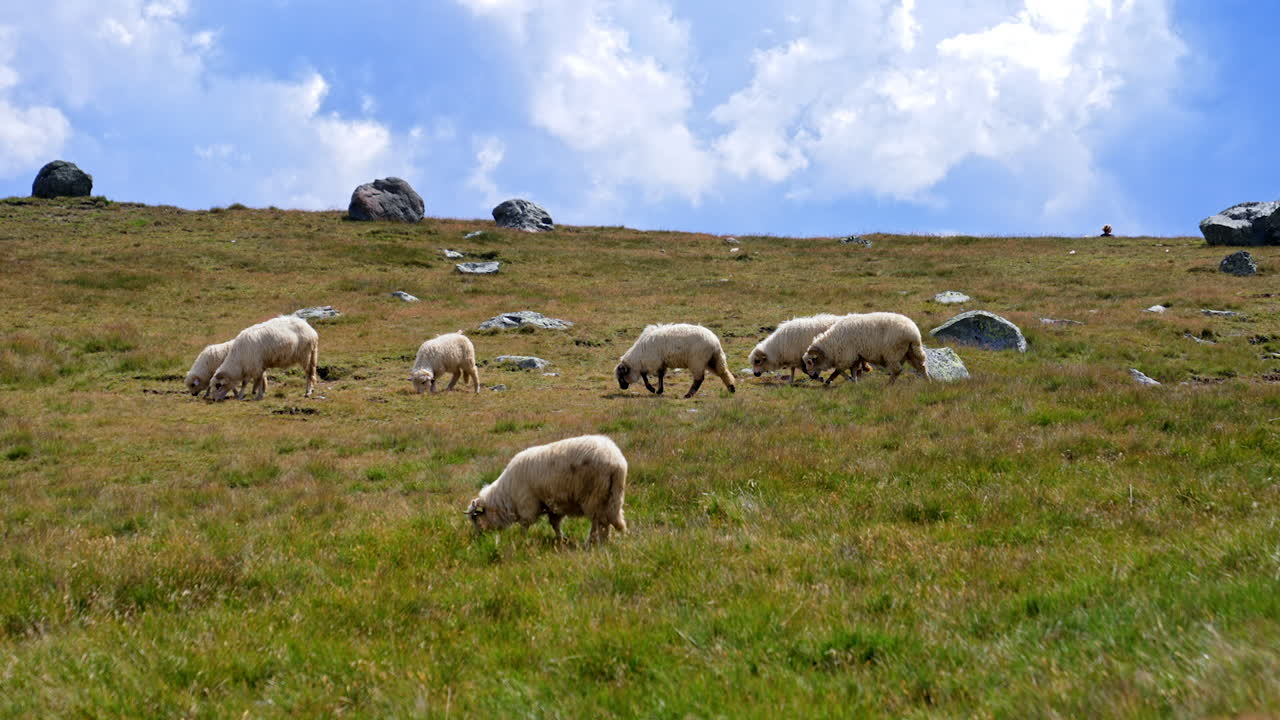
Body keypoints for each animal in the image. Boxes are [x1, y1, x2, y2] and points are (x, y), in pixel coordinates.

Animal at [464, 435, 627, 544]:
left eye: (475, 518)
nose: (478, 538)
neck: (507, 496)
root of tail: (616, 460)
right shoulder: (553, 505)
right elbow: (555, 524)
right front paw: (561, 539)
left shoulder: (527, 504)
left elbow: (525, 524)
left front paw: (522, 539)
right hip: (612, 496)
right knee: (607, 520)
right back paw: (604, 541)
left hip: (593, 495)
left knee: (597, 521)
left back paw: (591, 542)